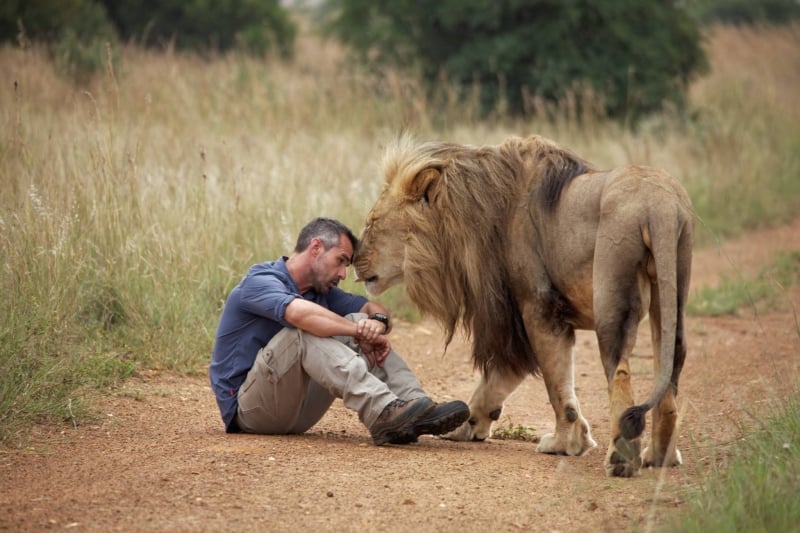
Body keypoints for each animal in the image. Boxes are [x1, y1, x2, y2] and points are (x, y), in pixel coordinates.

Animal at [354, 135, 692, 476]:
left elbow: (556, 386)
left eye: (372, 222)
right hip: (670, 298)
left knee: (620, 373)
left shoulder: (537, 308)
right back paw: (659, 456)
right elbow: (496, 381)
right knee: (670, 370)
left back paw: (622, 460)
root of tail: (659, 205)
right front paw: (463, 424)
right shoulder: (517, 319)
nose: (354, 258)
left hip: (612, 299)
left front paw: (565, 443)